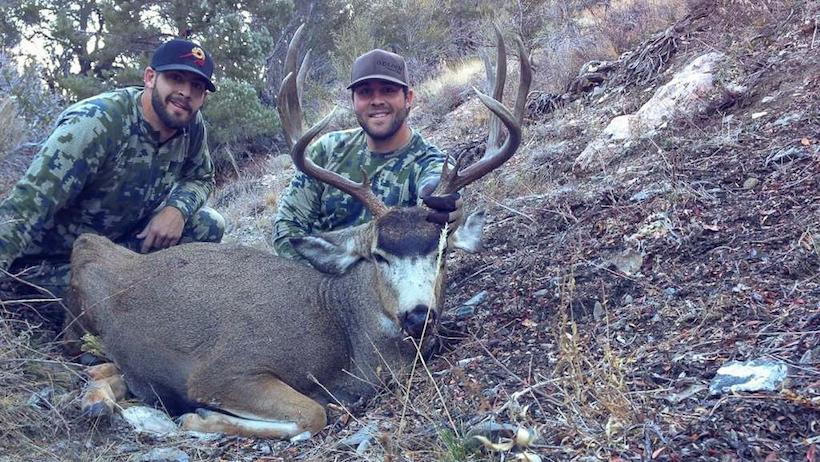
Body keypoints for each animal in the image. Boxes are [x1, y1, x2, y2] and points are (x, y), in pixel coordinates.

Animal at [65, 25, 532, 441]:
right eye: (378, 255)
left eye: (442, 252)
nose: (418, 315)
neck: (343, 335)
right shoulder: (224, 368)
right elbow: (313, 413)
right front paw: (198, 418)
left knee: (105, 371)